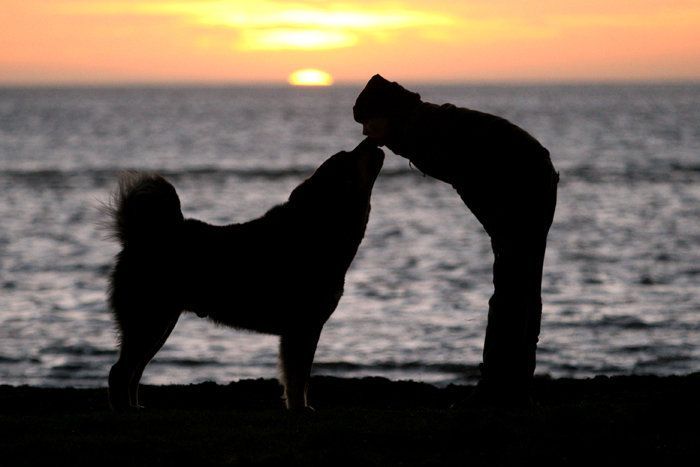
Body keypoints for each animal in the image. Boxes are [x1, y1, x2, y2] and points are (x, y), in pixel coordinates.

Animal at [106, 141, 386, 412]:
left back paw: (135, 405)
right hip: (149, 320)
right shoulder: (303, 329)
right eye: (348, 157)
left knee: (133, 372)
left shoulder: (300, 331)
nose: (369, 140)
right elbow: (297, 380)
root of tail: (141, 236)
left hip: (158, 324)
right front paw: (300, 409)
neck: (319, 226)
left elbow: (296, 380)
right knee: (119, 372)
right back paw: (126, 409)